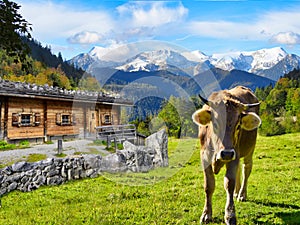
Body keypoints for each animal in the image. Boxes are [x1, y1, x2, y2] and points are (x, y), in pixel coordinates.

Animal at [192, 85, 260, 223]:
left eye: (238, 125)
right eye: (215, 124)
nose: (227, 153)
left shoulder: (235, 154)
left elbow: (229, 184)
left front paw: (230, 215)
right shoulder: (204, 157)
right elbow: (209, 185)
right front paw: (206, 214)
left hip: (249, 150)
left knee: (246, 169)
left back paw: (241, 194)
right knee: (239, 170)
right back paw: (237, 192)